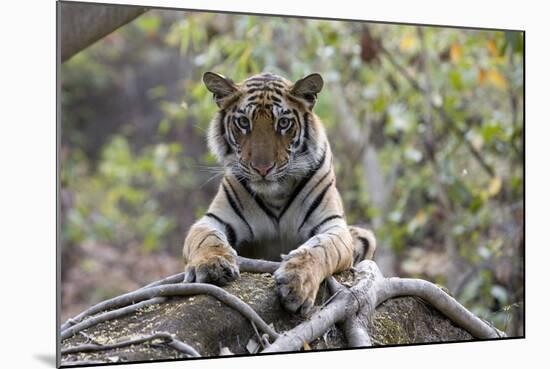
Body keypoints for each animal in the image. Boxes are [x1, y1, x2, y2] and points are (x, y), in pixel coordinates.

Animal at [183, 72, 378, 316]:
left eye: (283, 123)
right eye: (243, 122)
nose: (262, 168)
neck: (275, 194)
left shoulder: (333, 226)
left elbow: (320, 249)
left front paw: (297, 282)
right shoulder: (212, 220)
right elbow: (206, 239)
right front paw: (212, 264)